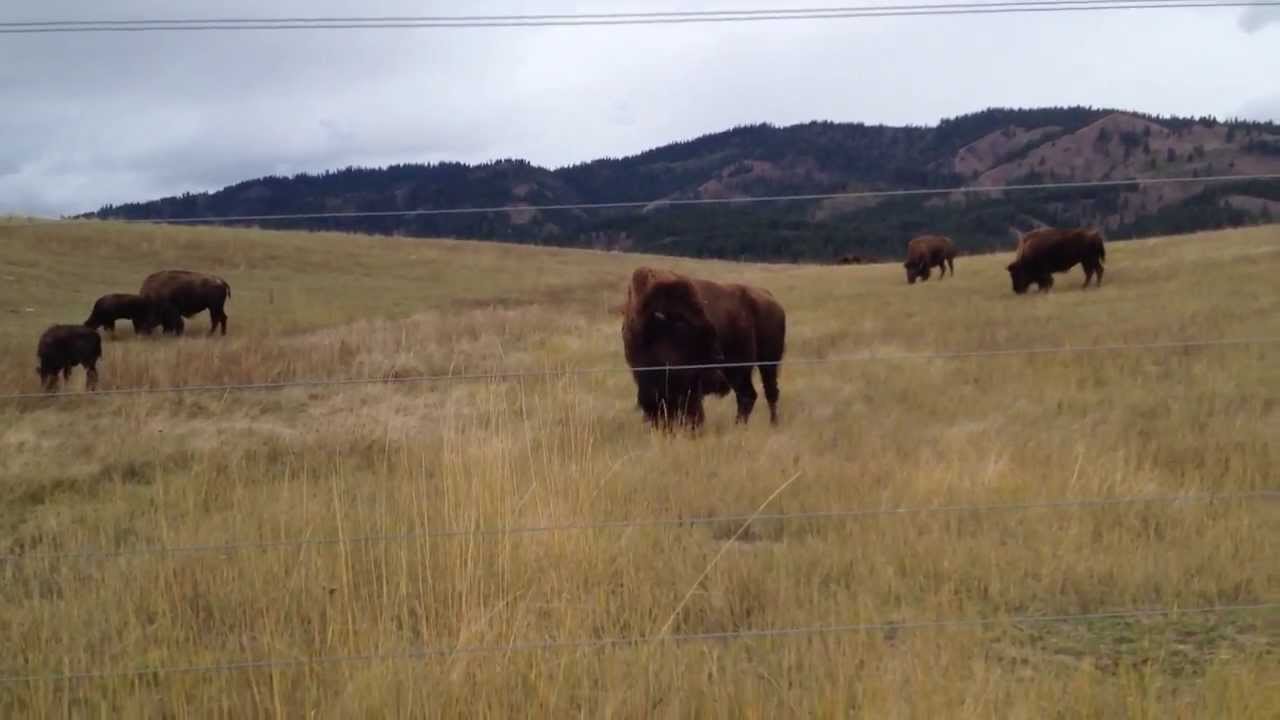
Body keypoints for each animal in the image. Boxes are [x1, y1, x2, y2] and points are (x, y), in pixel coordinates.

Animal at [621, 267, 786, 430]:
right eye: (681, 322)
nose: (718, 356)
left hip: (765, 363)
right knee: (749, 395)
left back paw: (770, 424)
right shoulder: (647, 377)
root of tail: (769, 297)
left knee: (767, 392)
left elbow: (692, 409)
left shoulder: (690, 383)